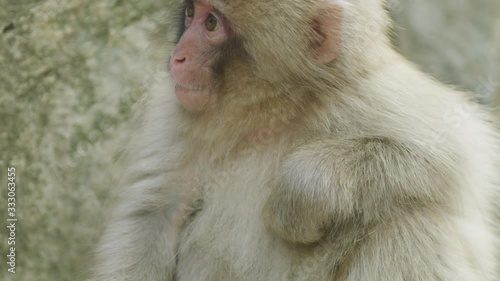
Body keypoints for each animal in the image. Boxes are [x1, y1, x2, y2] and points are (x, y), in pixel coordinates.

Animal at [92, 0, 498, 280]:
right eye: (191, 12)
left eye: (211, 23)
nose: (178, 57)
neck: (269, 110)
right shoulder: (172, 111)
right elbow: (151, 218)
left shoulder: (365, 92)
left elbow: (455, 153)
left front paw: (299, 196)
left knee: (410, 219)